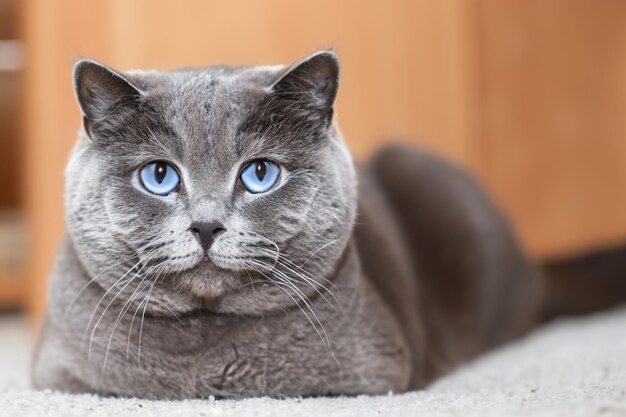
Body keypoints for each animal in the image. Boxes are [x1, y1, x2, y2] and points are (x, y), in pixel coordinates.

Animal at [30, 50, 624, 398]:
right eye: (158, 175)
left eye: (260, 173)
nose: (206, 226)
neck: (201, 356)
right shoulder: (59, 376)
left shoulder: (367, 373)